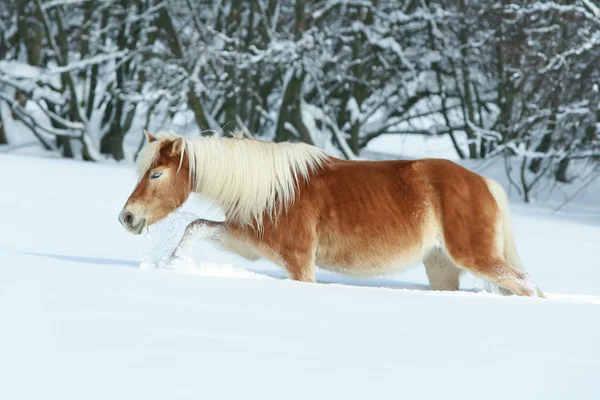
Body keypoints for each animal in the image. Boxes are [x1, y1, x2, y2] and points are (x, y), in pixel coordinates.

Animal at [117, 128, 544, 296]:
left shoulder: (298, 263)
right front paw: (175, 265)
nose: (127, 218)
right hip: (442, 267)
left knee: (524, 283)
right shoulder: (248, 242)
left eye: (156, 173)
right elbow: (195, 227)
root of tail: (484, 183)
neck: (275, 191)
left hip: (474, 256)